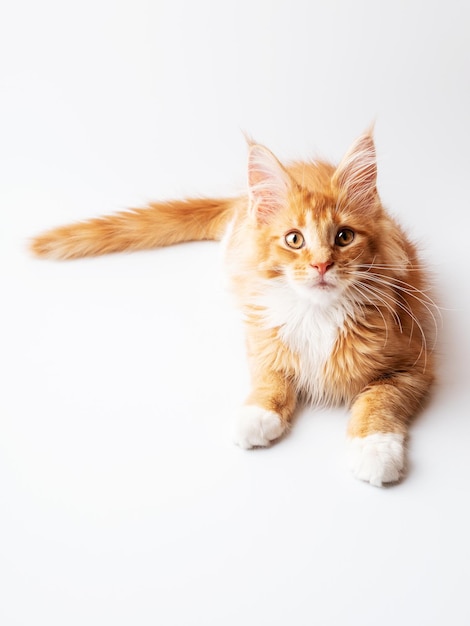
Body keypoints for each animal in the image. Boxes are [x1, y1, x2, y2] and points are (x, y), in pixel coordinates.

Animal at [31, 130, 436, 482]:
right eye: (294, 240)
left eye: (344, 237)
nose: (321, 265)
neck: (318, 313)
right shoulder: (261, 333)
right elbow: (269, 375)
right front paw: (258, 414)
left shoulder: (414, 361)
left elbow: (380, 401)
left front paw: (375, 451)